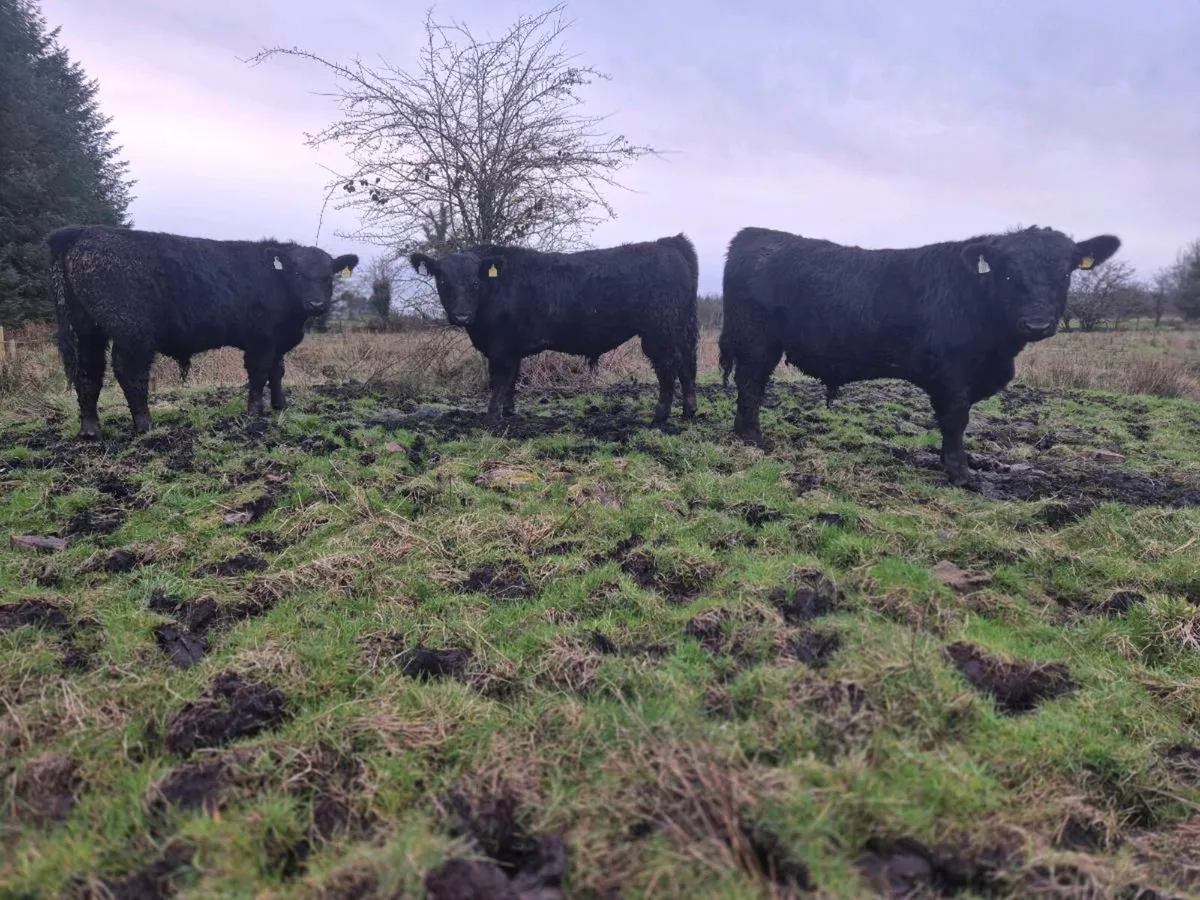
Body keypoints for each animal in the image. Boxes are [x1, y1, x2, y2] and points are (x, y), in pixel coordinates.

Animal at [46, 225, 358, 438]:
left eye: (328, 276)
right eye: (296, 273)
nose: (316, 304)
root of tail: (82, 231)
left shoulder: (276, 339)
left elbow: (277, 371)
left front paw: (280, 405)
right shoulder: (260, 339)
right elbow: (259, 374)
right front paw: (255, 412)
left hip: (87, 330)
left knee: (88, 373)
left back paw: (90, 429)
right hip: (131, 331)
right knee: (129, 374)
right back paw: (145, 425)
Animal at [409, 234, 700, 427]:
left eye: (474, 282)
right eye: (443, 281)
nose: (461, 315)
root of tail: (668, 242)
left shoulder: (501, 346)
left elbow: (499, 379)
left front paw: (492, 417)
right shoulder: (512, 348)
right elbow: (511, 380)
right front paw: (509, 411)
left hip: (660, 331)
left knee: (668, 368)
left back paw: (660, 415)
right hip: (681, 328)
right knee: (687, 366)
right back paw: (689, 411)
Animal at [718, 225, 1121, 485]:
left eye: (1065, 273)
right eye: (1008, 273)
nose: (1037, 323)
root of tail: (753, 234)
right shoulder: (952, 374)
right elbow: (956, 420)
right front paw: (959, 471)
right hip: (757, 340)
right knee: (750, 384)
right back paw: (752, 439)